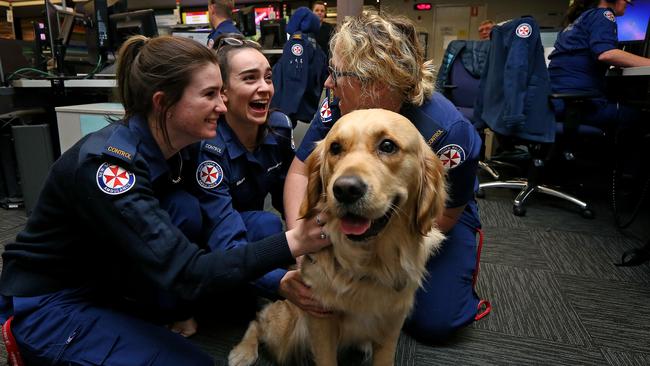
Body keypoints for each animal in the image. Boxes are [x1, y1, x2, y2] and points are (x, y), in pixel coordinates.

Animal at [228, 109, 446, 366]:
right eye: (335, 148)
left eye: (388, 146)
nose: (346, 189)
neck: (368, 262)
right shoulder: (321, 318)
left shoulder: (391, 323)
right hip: (285, 332)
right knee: (259, 320)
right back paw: (243, 351)